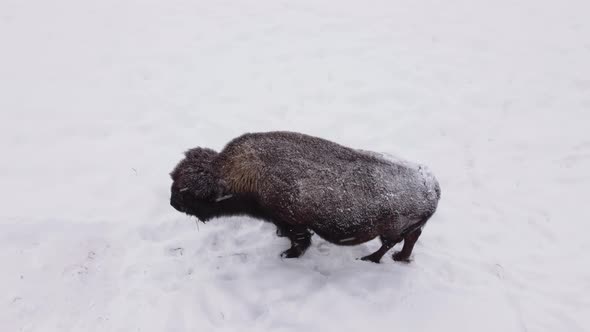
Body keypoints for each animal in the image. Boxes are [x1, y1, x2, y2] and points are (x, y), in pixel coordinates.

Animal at [169, 131, 442, 264]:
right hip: (409, 229)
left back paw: (369, 259)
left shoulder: (292, 221)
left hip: (389, 231)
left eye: (187, 192)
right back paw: (400, 259)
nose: (173, 203)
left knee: (388, 244)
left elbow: (299, 240)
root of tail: (434, 187)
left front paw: (288, 254)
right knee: (407, 241)